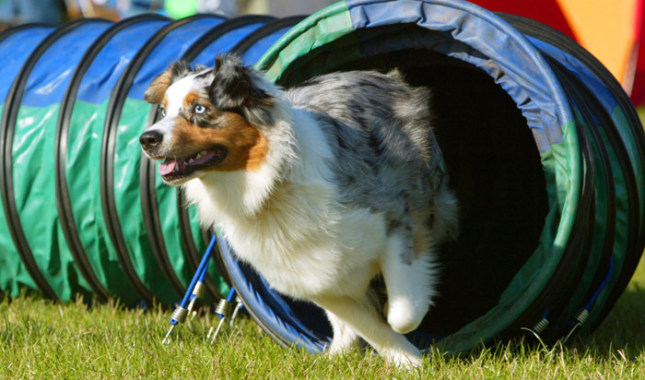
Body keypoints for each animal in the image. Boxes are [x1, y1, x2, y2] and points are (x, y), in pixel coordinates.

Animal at [140, 55, 458, 366]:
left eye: (199, 108)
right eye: (164, 111)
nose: (146, 139)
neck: (270, 184)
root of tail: (384, 76)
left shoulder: (400, 224)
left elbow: (403, 314)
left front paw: (407, 347)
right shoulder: (307, 273)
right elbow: (366, 323)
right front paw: (407, 360)